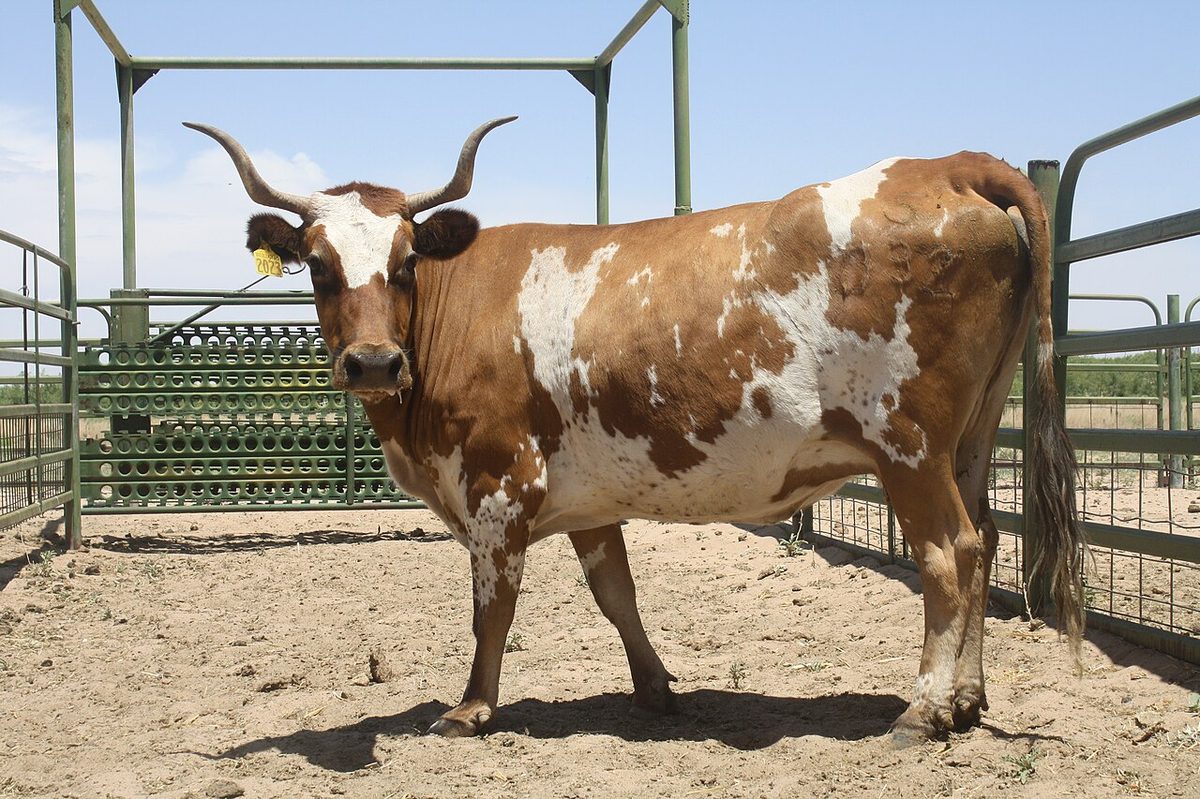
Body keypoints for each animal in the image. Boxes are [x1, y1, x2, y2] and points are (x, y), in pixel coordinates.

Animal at [185, 118, 1086, 744]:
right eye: (319, 266)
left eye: (405, 262)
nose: (373, 362)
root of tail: (949, 165)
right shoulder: (590, 498)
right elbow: (616, 594)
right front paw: (655, 689)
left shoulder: (498, 481)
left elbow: (492, 605)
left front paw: (471, 708)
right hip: (970, 438)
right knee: (989, 538)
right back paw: (967, 699)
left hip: (908, 446)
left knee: (949, 554)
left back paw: (923, 710)